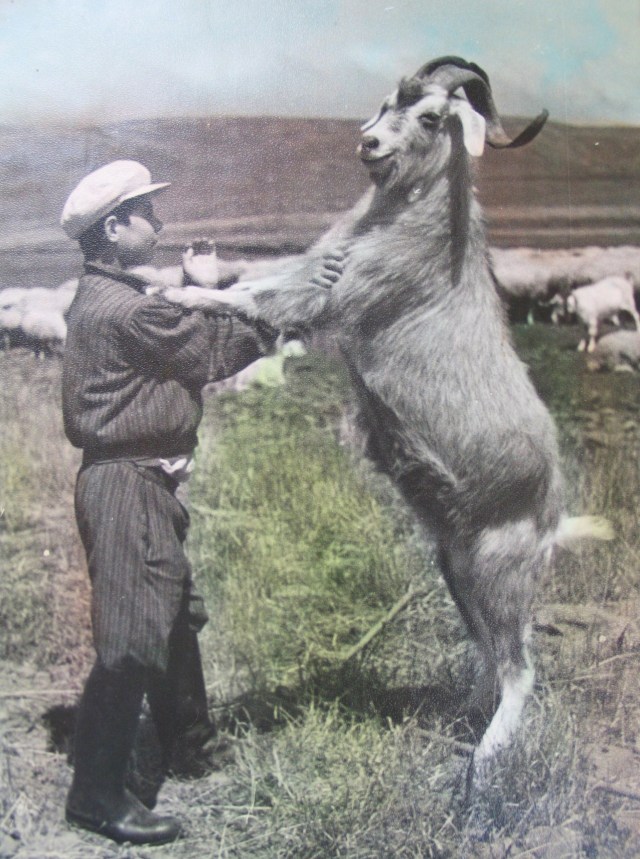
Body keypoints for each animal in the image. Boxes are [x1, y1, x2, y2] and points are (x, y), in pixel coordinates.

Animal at [158, 57, 612, 786]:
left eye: (431, 116)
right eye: (384, 103)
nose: (367, 144)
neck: (414, 221)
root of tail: (553, 515)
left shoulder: (329, 292)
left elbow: (252, 296)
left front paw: (174, 291)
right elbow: (253, 289)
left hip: (501, 570)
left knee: (520, 666)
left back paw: (483, 761)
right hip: (457, 563)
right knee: (490, 654)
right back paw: (461, 719)